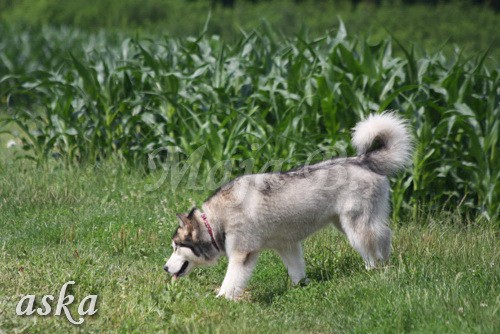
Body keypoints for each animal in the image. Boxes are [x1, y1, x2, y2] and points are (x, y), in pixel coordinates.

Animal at [162, 112, 412, 300]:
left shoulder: (242, 254)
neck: (214, 221)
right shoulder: (287, 245)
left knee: (378, 239)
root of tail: (363, 160)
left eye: (176, 247)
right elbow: (296, 270)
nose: (164, 268)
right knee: (381, 236)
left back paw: (376, 269)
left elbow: (231, 281)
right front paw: (302, 287)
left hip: (356, 225)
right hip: (343, 223)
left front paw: (222, 299)